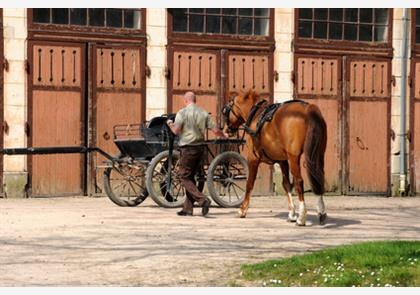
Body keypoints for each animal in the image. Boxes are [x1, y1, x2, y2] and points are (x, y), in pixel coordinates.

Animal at [223, 91, 328, 227]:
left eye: (226, 110)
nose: (226, 130)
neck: (256, 115)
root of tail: (308, 109)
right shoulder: (283, 161)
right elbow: (286, 184)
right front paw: (292, 213)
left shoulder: (253, 159)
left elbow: (249, 183)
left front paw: (242, 209)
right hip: (318, 155)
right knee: (318, 178)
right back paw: (321, 212)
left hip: (294, 158)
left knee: (299, 181)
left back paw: (302, 217)